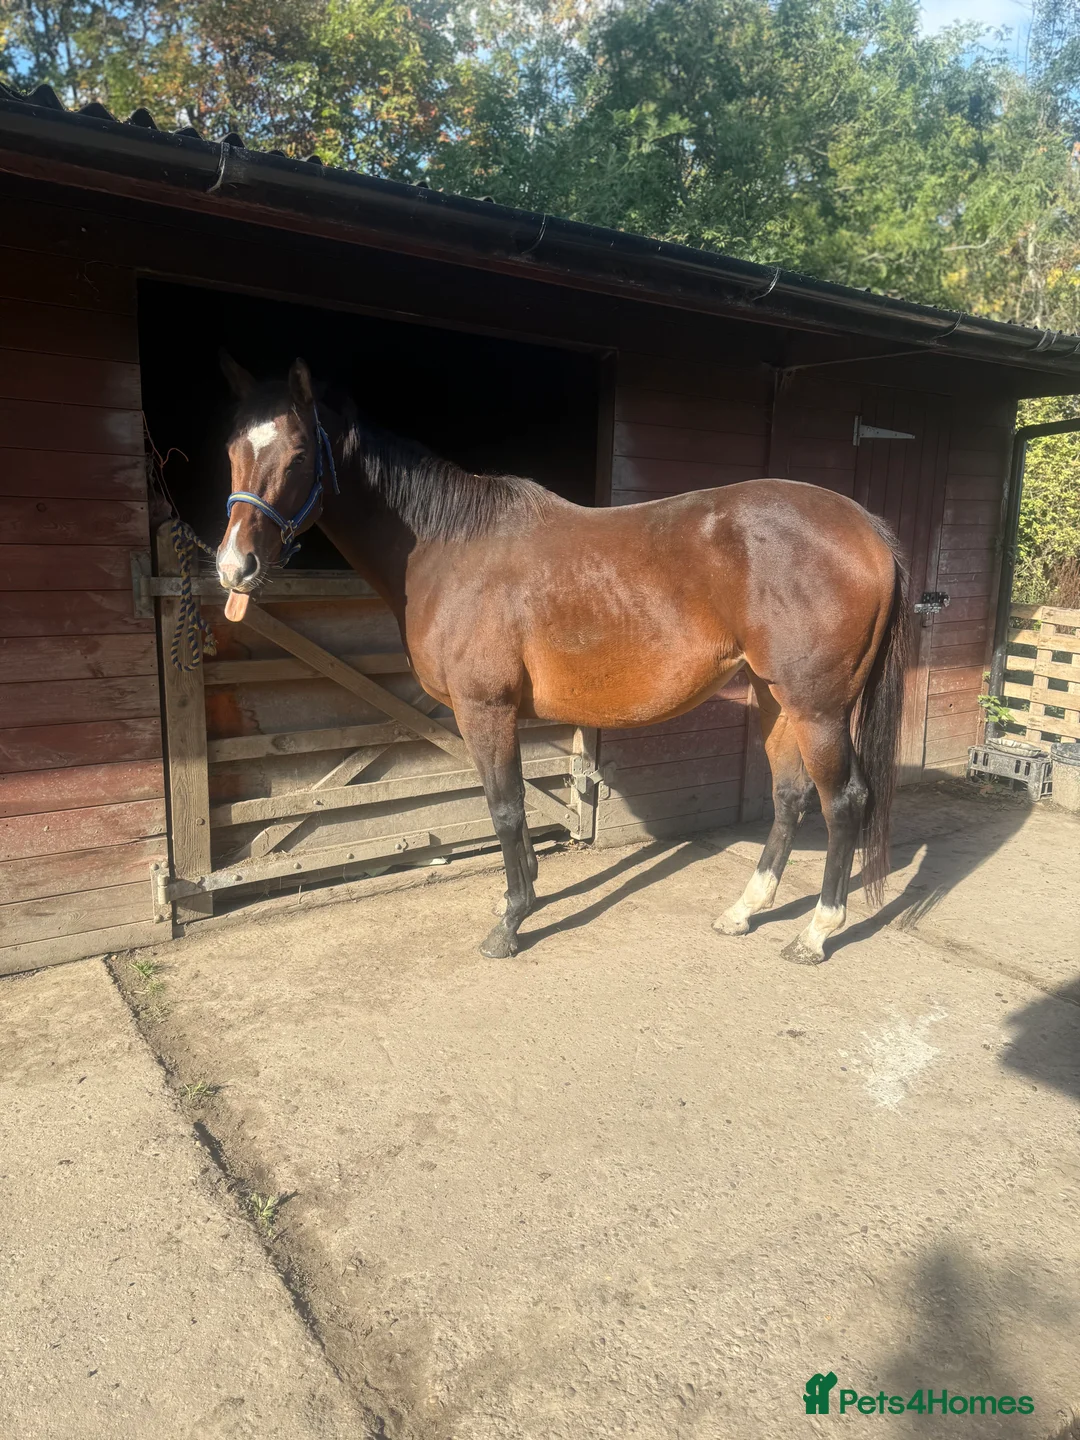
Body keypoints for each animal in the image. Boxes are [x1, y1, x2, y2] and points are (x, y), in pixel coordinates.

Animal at [214, 355, 909, 964]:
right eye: (231, 451)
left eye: (299, 454)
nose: (234, 567)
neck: (447, 546)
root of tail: (868, 528)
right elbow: (510, 807)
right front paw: (513, 900)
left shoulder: (485, 709)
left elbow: (505, 808)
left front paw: (511, 922)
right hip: (774, 695)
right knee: (790, 794)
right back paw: (744, 911)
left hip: (818, 707)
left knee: (844, 801)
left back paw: (815, 933)